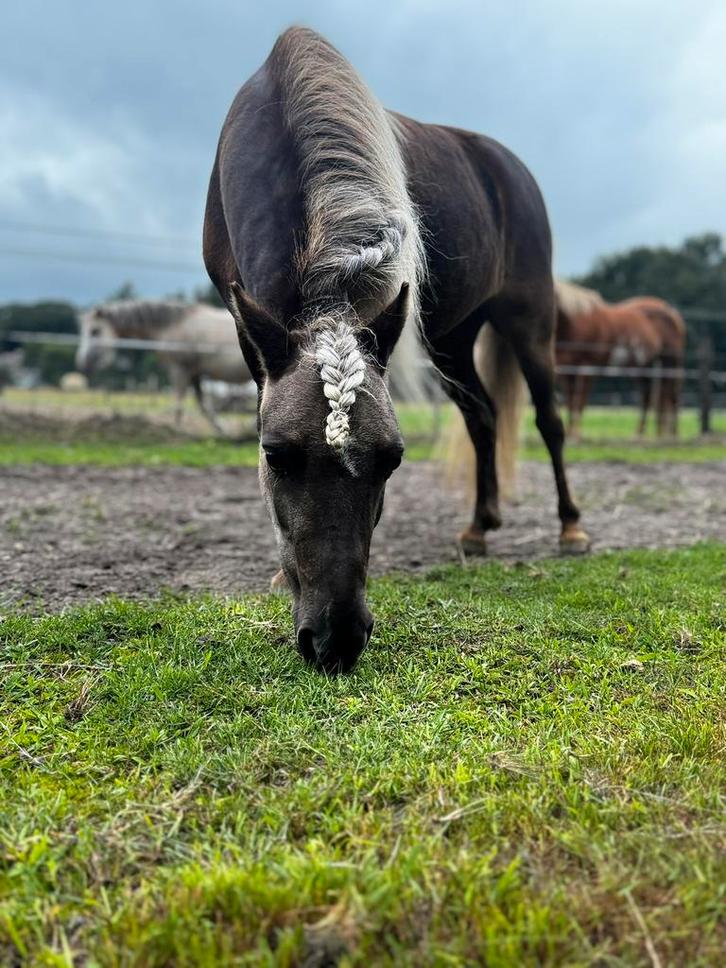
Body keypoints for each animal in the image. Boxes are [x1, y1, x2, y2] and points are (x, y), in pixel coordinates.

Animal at [76, 300, 253, 432]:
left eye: (95, 331)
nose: (82, 363)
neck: (173, 325)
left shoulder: (180, 369)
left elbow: (179, 402)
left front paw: (177, 430)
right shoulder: (195, 373)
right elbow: (203, 404)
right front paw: (222, 429)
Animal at [203, 27, 587, 672]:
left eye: (393, 459)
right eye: (275, 455)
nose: (336, 641)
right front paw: (281, 574)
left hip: (530, 320)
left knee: (548, 421)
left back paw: (571, 528)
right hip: (452, 337)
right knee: (483, 416)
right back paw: (479, 526)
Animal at [554, 281, 681, 438]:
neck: (575, 321)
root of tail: (670, 311)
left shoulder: (588, 367)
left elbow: (580, 400)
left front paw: (576, 432)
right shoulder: (568, 368)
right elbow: (571, 400)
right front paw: (570, 431)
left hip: (670, 361)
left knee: (671, 394)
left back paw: (672, 434)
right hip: (643, 365)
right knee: (650, 395)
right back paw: (642, 433)